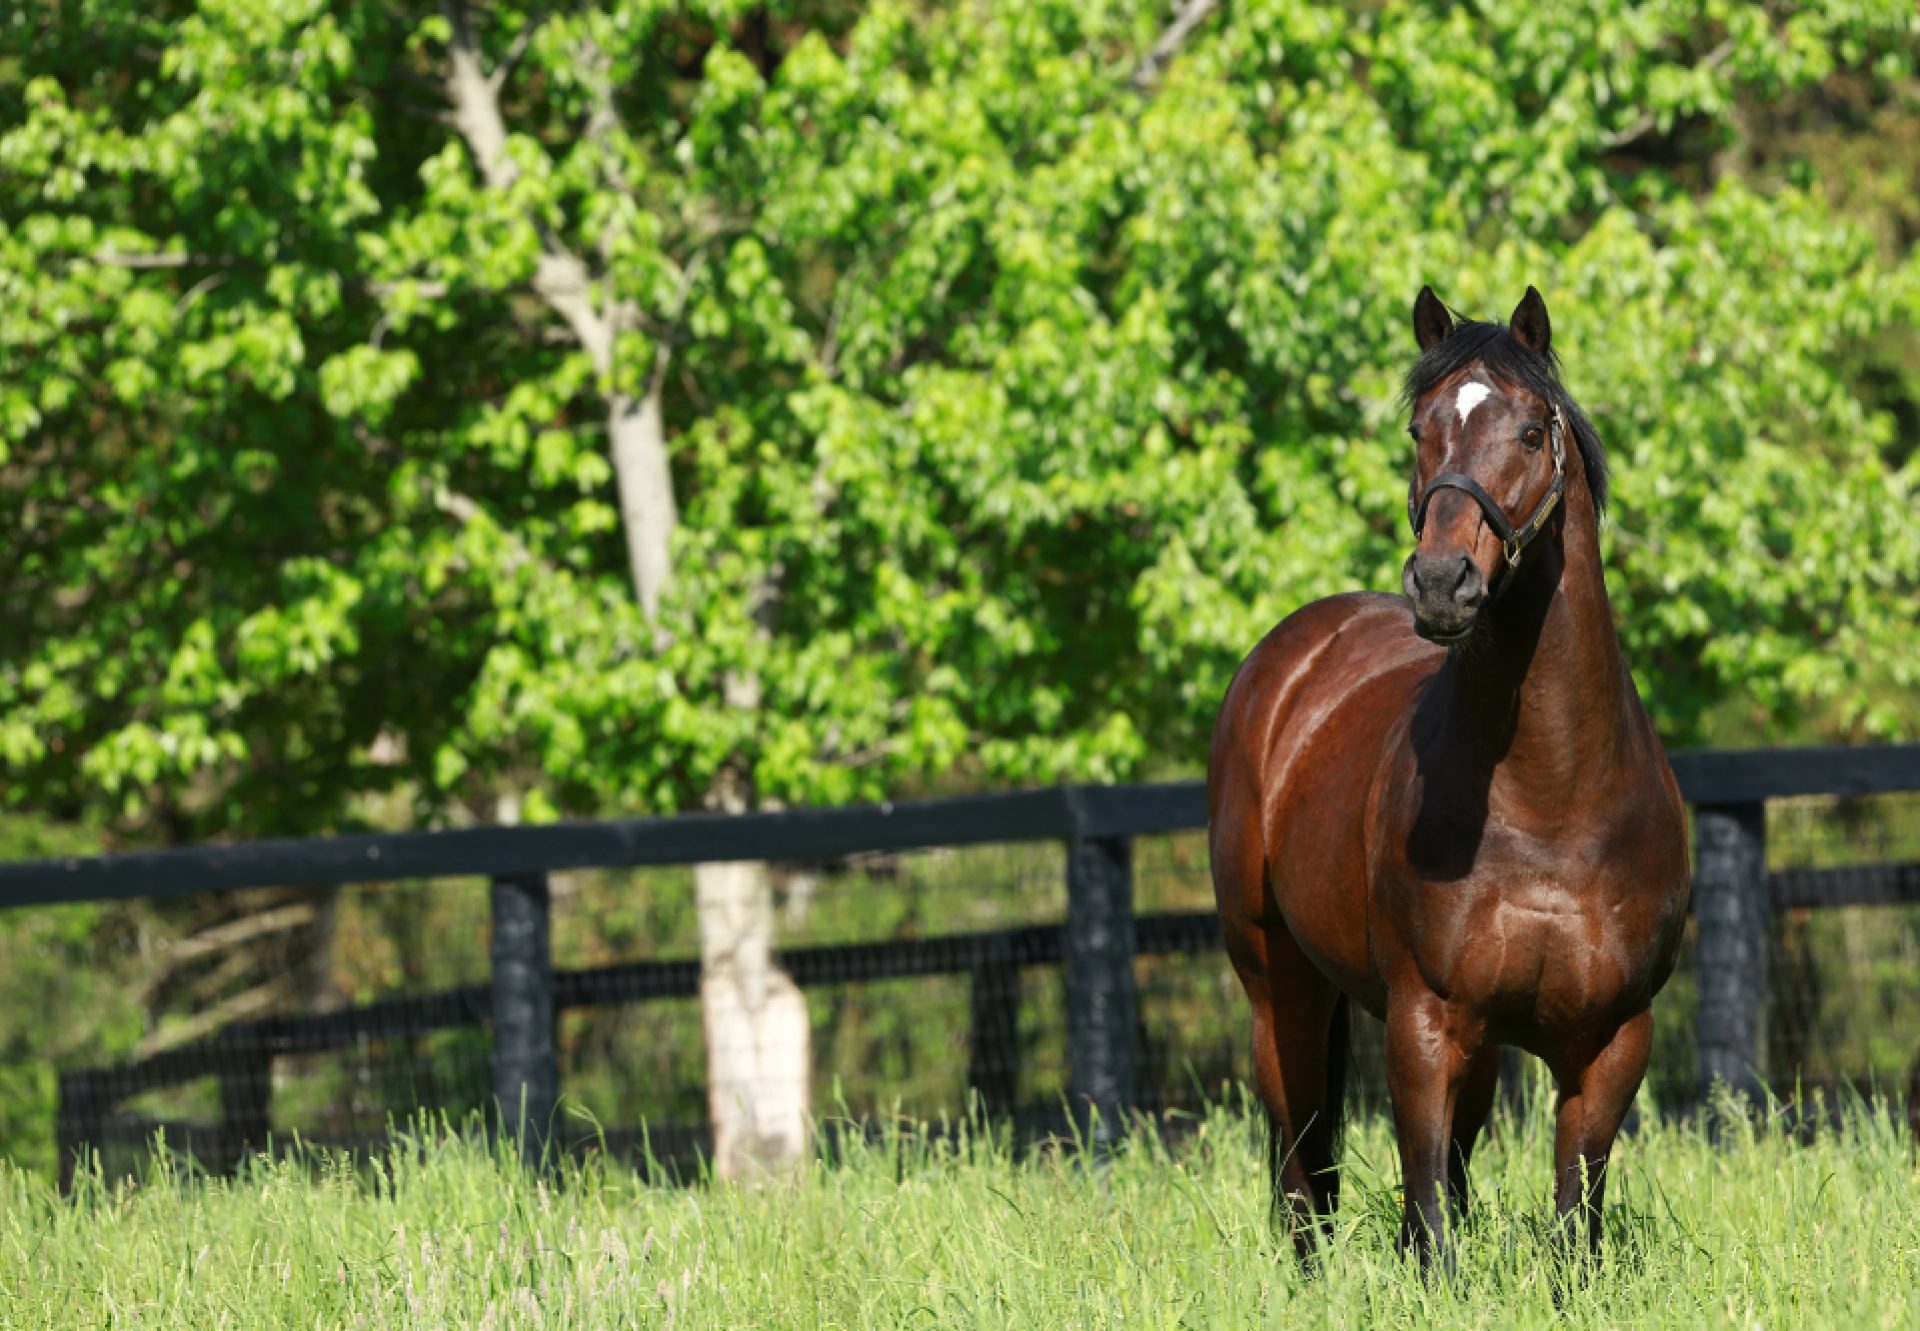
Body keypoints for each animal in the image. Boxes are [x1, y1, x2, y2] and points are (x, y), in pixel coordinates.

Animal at [1213, 288, 1681, 1267]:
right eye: (1419, 429)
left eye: (1533, 431)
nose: (1440, 581)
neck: (1553, 800)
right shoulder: (1424, 1022)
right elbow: (1428, 1217)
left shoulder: (1612, 1041)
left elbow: (1571, 1220)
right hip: (1279, 985)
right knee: (1300, 1160)